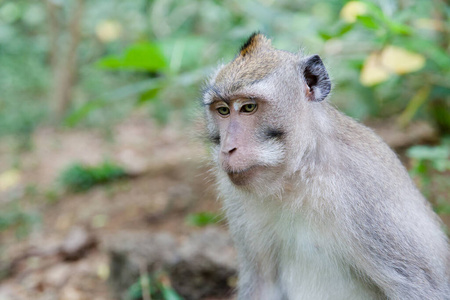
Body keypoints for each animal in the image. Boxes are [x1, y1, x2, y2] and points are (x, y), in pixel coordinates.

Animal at [202, 33, 448, 300]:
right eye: (223, 110)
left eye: (248, 107)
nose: (228, 149)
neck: (299, 173)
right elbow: (261, 283)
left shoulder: (367, 194)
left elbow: (424, 287)